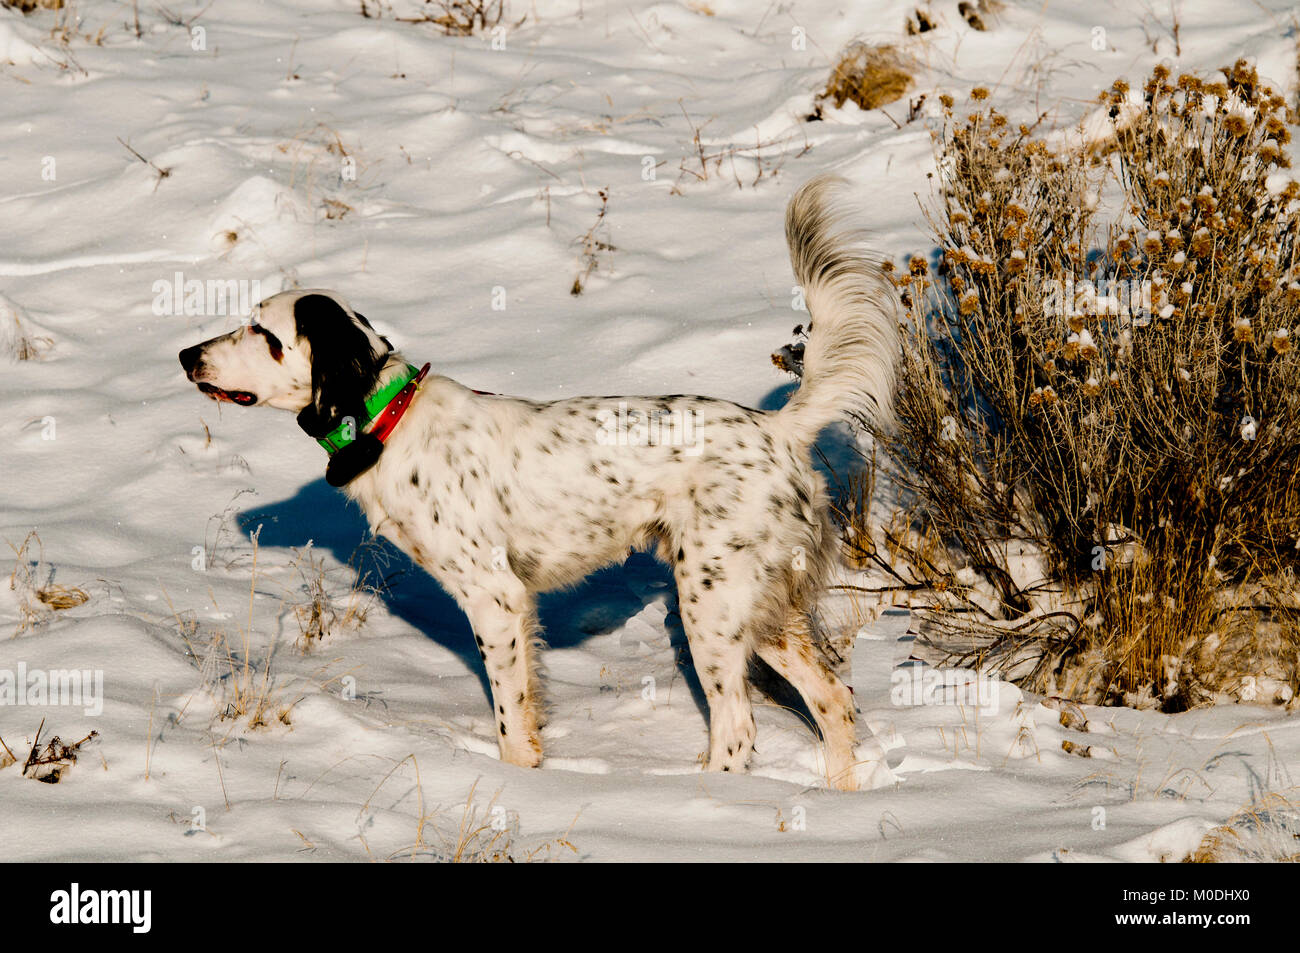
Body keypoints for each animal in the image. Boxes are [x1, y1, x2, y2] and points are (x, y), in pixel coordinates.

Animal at [178, 172, 899, 790]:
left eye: (261, 331)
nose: (186, 354)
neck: (391, 418)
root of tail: (778, 428)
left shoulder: (495, 598)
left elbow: (511, 723)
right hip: (766, 608)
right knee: (835, 699)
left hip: (712, 606)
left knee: (739, 728)